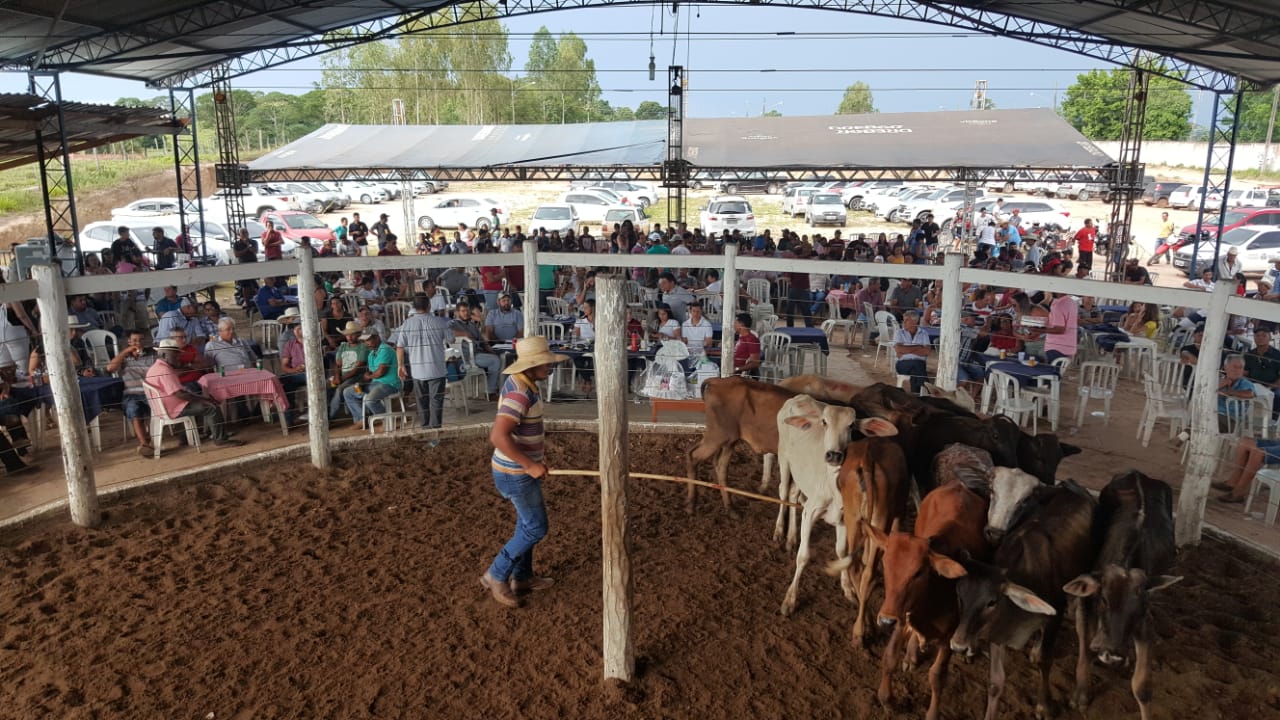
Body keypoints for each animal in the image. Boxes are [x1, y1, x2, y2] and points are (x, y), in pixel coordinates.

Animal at [773, 394, 896, 614]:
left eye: (851, 425)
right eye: (824, 422)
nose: (834, 455)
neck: (832, 487)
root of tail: (799, 396)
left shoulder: (843, 520)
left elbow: (842, 553)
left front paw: (848, 589)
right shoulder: (811, 511)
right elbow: (803, 556)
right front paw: (790, 600)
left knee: (794, 495)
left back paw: (791, 537)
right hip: (784, 458)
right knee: (783, 491)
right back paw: (779, 532)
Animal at [870, 479, 988, 717]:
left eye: (918, 572)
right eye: (885, 563)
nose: (885, 621)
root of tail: (959, 486)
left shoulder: (948, 637)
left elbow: (937, 677)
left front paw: (932, 714)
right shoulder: (900, 612)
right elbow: (890, 657)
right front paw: (886, 699)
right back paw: (911, 654)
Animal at [952, 476, 1100, 717]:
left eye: (991, 602)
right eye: (959, 596)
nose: (958, 645)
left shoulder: (1056, 615)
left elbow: (1045, 660)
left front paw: (1044, 705)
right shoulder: (998, 633)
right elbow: (995, 682)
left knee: (1083, 630)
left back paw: (1081, 693)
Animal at [1059, 471, 1177, 717]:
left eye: (1139, 607)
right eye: (1103, 600)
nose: (1112, 654)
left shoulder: (1144, 623)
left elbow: (1142, 686)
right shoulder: (1086, 606)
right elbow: (1085, 653)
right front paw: (1080, 696)